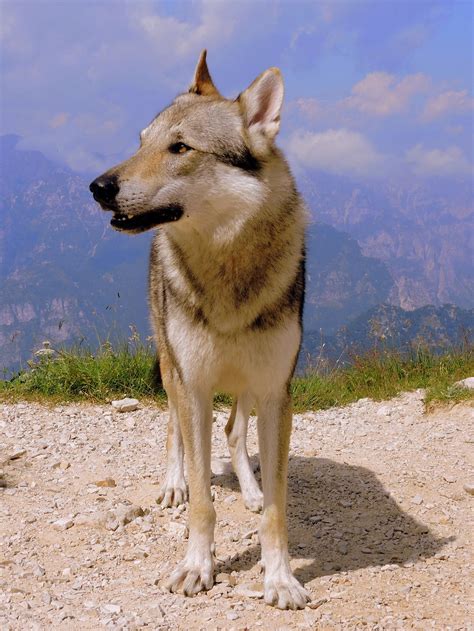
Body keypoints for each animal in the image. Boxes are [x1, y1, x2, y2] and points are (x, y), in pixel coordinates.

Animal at [90, 51, 310, 608]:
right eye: (141, 141)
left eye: (181, 147)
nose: (98, 187)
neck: (225, 268)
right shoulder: (193, 384)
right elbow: (203, 501)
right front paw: (196, 567)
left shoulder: (275, 390)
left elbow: (276, 509)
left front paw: (280, 578)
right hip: (172, 368)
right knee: (174, 430)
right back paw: (173, 484)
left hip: (247, 384)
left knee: (234, 431)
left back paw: (249, 488)